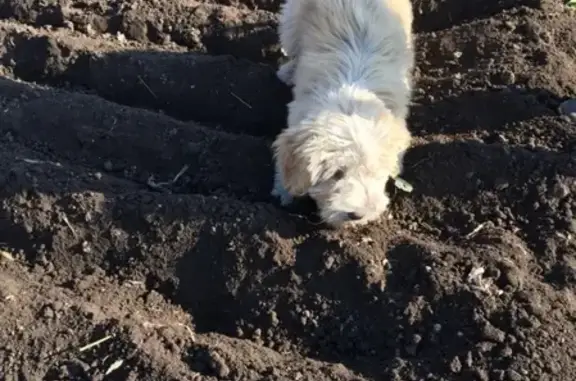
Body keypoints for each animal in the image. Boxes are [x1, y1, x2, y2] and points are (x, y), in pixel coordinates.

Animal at [272, 0, 414, 227]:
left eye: (373, 172)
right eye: (336, 174)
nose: (357, 215)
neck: (352, 93)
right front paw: (284, 190)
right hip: (292, 19)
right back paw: (287, 71)